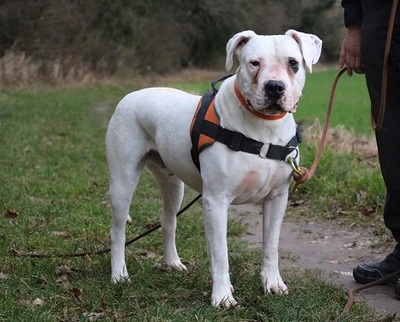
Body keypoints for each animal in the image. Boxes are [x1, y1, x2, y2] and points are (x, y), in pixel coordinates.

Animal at [105, 29, 322, 306]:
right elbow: (220, 254)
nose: (275, 87)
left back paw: (172, 263)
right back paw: (119, 275)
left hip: (173, 184)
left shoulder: (277, 198)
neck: (263, 127)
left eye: (293, 63)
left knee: (168, 220)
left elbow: (271, 246)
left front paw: (273, 284)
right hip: (123, 180)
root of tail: (129, 95)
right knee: (117, 230)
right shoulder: (217, 200)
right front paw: (222, 296)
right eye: (254, 63)